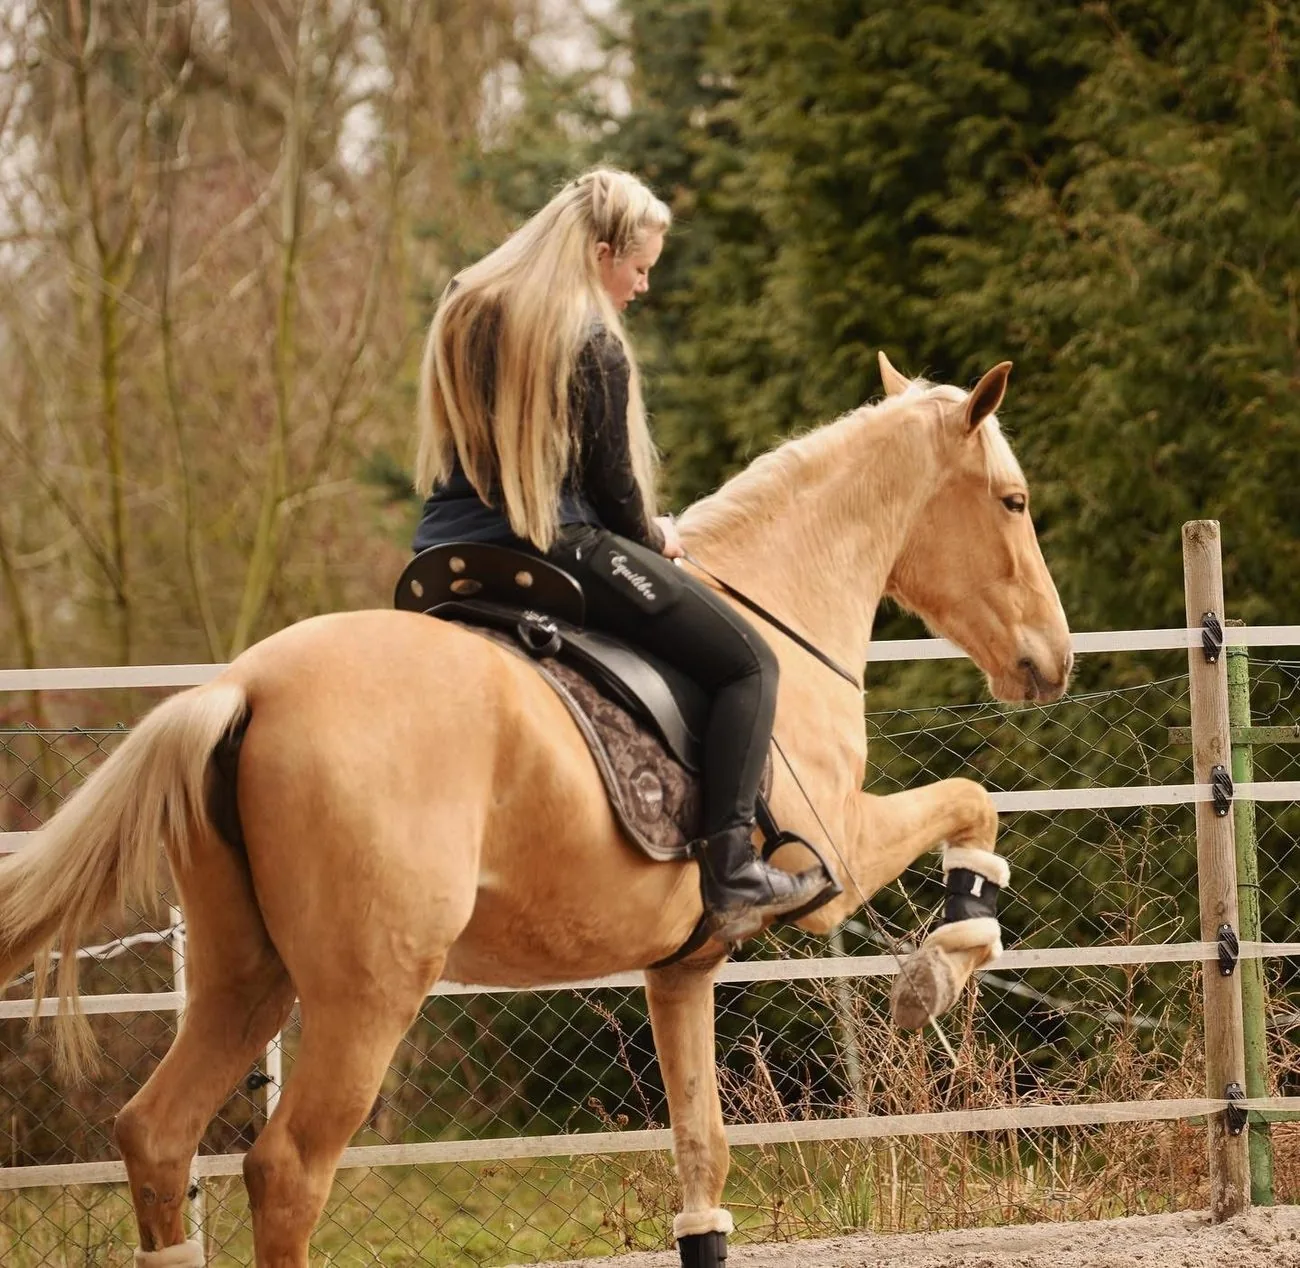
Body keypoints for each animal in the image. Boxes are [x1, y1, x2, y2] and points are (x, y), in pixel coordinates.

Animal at [0, 352, 1070, 1268]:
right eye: (1013, 501)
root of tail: (249, 686)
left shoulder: (682, 970)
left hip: (245, 977)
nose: (1053, 661)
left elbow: (702, 1154)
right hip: (365, 998)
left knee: (157, 1134)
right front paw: (943, 962)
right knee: (286, 1169)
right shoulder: (837, 861)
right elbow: (973, 804)